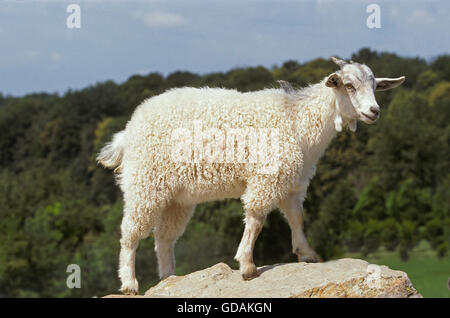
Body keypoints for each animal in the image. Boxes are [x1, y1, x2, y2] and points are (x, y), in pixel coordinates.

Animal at [97, 56, 404, 294]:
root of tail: (127, 132)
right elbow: (256, 219)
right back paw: (129, 283)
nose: (374, 111)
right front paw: (247, 265)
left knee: (164, 238)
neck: (298, 120)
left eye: (375, 86)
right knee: (130, 233)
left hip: (177, 197)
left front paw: (307, 253)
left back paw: (170, 278)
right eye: (349, 85)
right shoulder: (267, 176)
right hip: (145, 182)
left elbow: (296, 217)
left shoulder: (293, 181)